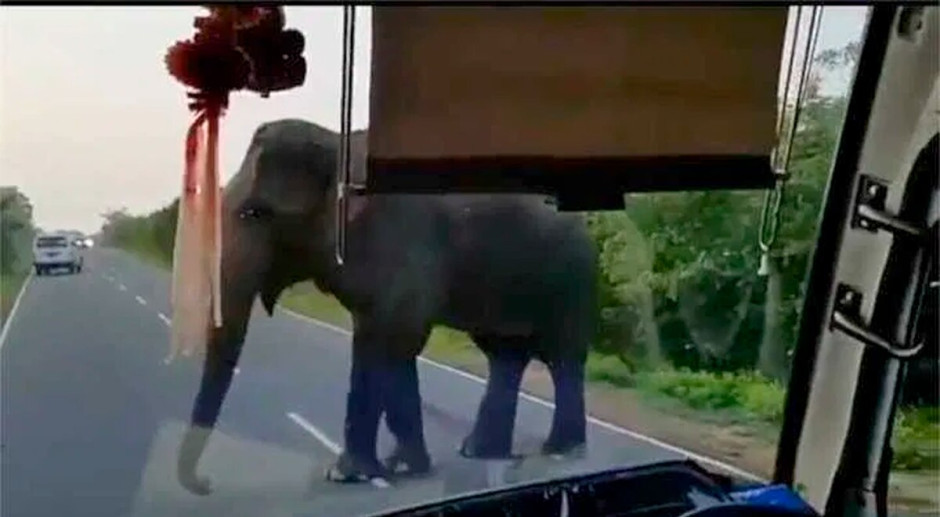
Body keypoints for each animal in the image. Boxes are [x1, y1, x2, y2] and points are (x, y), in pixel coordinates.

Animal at [176, 118, 599, 494]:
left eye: (255, 212)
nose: (206, 483)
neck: (336, 142)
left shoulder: (404, 242)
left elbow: (393, 341)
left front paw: (351, 474)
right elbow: (378, 342)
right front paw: (400, 467)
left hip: (571, 280)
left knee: (562, 356)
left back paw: (561, 452)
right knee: (504, 355)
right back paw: (479, 451)